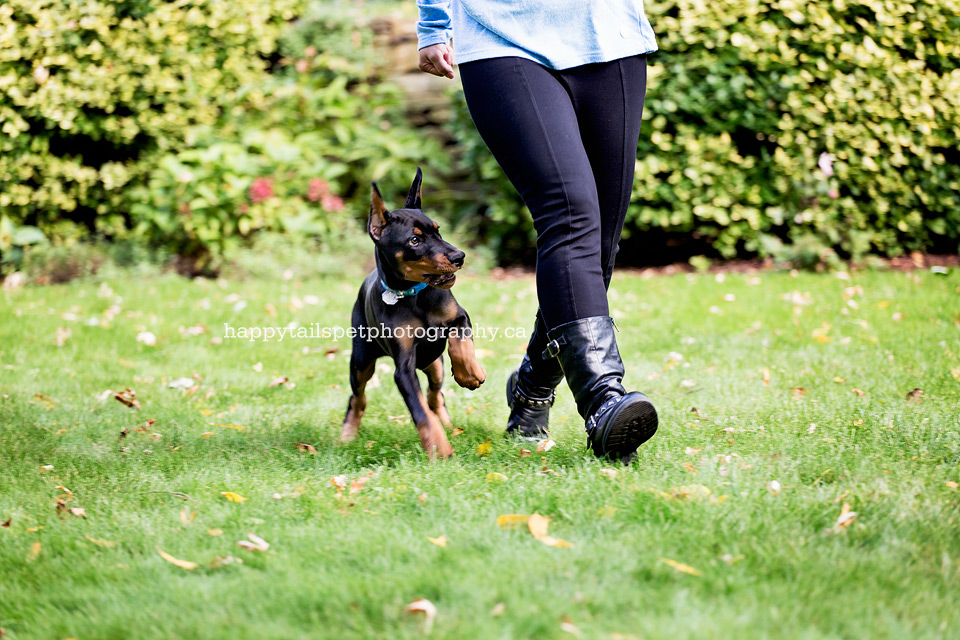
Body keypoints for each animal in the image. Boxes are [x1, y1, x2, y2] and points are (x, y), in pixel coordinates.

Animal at [340, 169, 488, 460]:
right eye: (415, 240)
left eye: (438, 231)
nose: (459, 256)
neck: (414, 296)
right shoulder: (404, 369)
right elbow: (419, 411)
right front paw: (439, 447)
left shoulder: (459, 317)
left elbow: (461, 344)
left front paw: (470, 374)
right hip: (362, 360)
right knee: (358, 396)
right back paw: (347, 433)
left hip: (435, 364)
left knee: (435, 395)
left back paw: (448, 423)